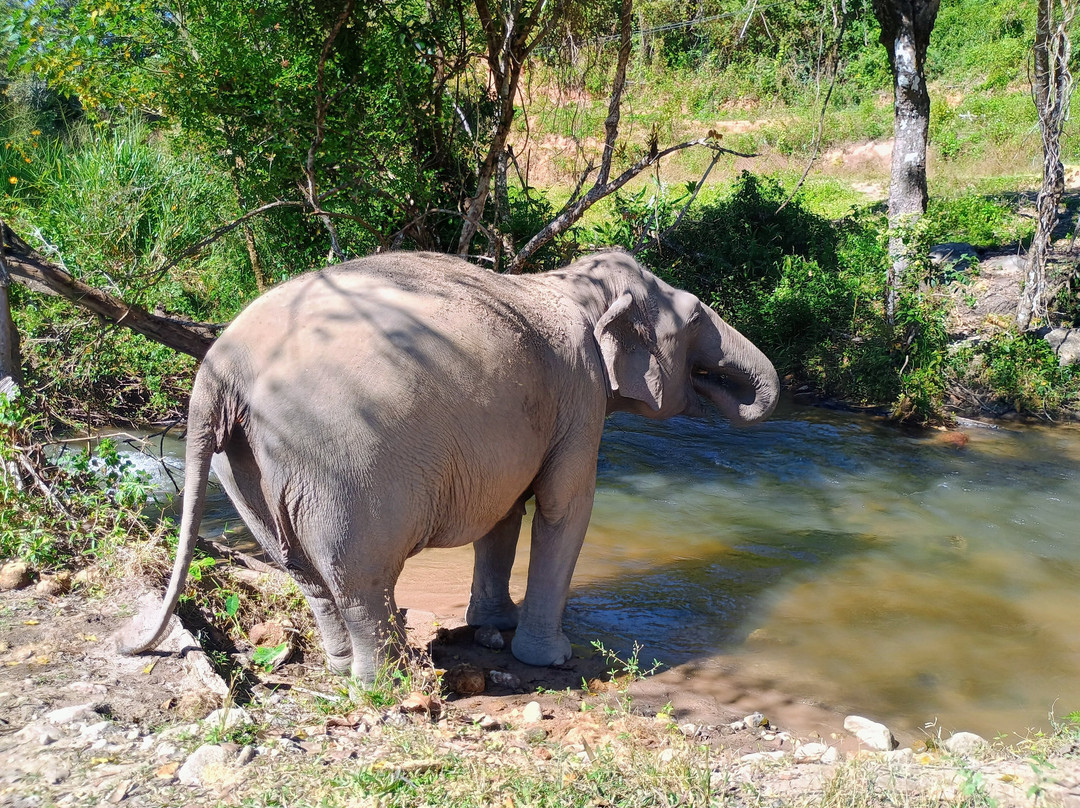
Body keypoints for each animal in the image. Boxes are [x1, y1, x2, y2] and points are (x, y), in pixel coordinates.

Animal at [118, 250, 779, 681]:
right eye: (695, 319)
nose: (718, 387)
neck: (569, 283)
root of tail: (217, 372)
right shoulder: (581, 396)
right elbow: (565, 506)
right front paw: (553, 658)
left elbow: (505, 510)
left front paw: (496, 625)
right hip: (339, 466)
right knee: (361, 578)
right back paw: (386, 685)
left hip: (247, 467)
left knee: (302, 571)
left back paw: (340, 669)